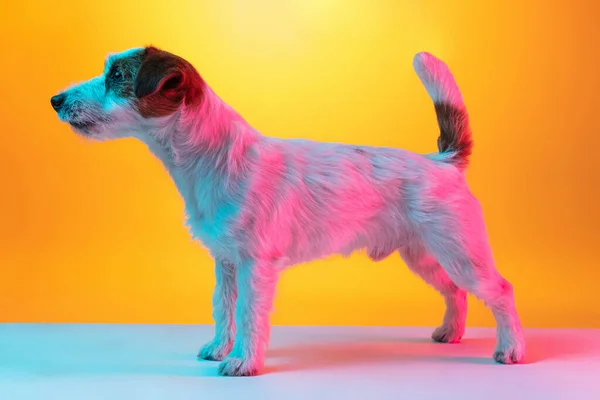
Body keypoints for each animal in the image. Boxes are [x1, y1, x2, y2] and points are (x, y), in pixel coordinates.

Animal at [51, 46, 524, 376]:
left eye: (117, 76)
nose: (56, 99)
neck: (216, 158)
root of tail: (443, 161)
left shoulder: (255, 265)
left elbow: (248, 313)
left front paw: (244, 362)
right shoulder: (226, 262)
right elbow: (223, 307)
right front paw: (219, 348)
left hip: (461, 252)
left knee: (499, 290)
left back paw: (511, 349)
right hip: (425, 257)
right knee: (455, 291)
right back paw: (451, 333)